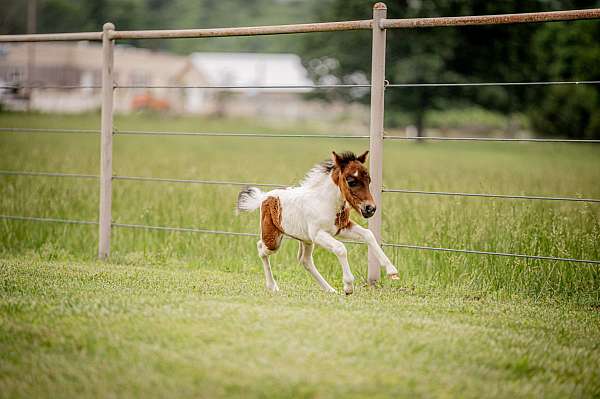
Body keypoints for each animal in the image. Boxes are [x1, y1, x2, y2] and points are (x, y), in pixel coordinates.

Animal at [238, 152, 398, 296]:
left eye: (369, 180)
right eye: (351, 181)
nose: (370, 208)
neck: (326, 201)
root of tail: (265, 197)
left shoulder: (341, 228)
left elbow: (368, 234)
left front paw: (392, 271)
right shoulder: (318, 234)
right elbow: (340, 248)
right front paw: (348, 286)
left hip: (306, 240)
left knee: (305, 260)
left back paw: (330, 289)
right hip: (274, 239)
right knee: (261, 247)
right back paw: (272, 286)